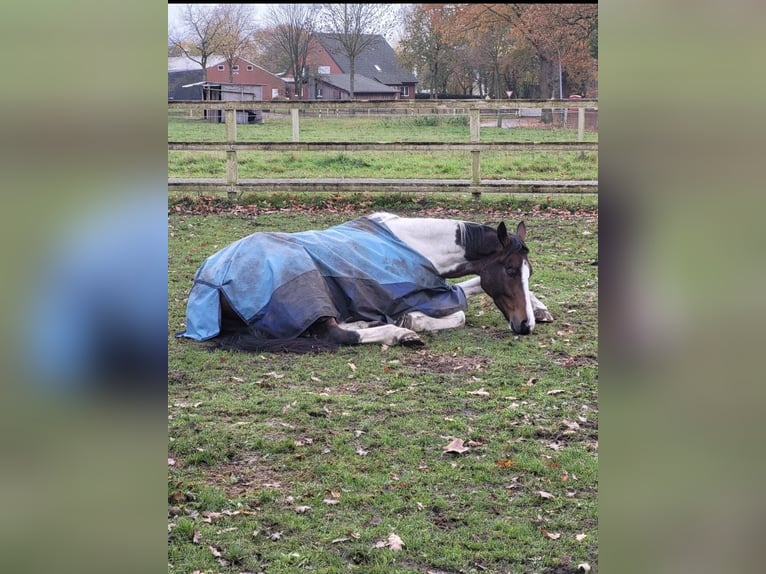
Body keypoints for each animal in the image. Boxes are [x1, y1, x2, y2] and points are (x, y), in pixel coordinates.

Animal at [176, 212, 553, 353]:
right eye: (509, 270)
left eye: (528, 272)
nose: (525, 326)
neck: (417, 246)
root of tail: (211, 281)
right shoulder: (420, 295)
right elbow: (458, 311)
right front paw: (412, 322)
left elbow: (474, 283)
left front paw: (540, 308)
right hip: (309, 292)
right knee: (335, 334)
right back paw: (398, 334)